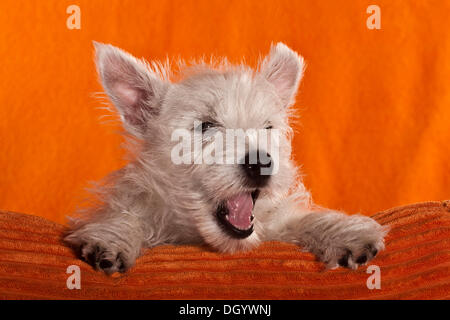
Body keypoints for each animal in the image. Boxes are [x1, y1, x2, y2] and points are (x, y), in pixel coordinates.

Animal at [65, 42, 388, 276]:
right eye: (206, 126)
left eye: (267, 128)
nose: (261, 163)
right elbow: (127, 217)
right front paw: (114, 239)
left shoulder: (275, 222)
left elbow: (305, 219)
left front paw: (347, 234)